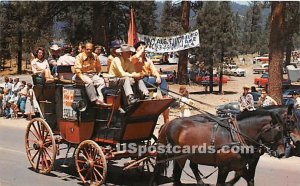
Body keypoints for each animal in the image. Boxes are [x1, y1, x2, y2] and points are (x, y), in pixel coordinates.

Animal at [151, 109, 288, 185]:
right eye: (279, 130)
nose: (282, 153)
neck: (236, 135)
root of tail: (168, 123)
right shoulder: (224, 168)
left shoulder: (240, 167)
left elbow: (249, 179)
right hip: (177, 156)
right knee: (170, 172)